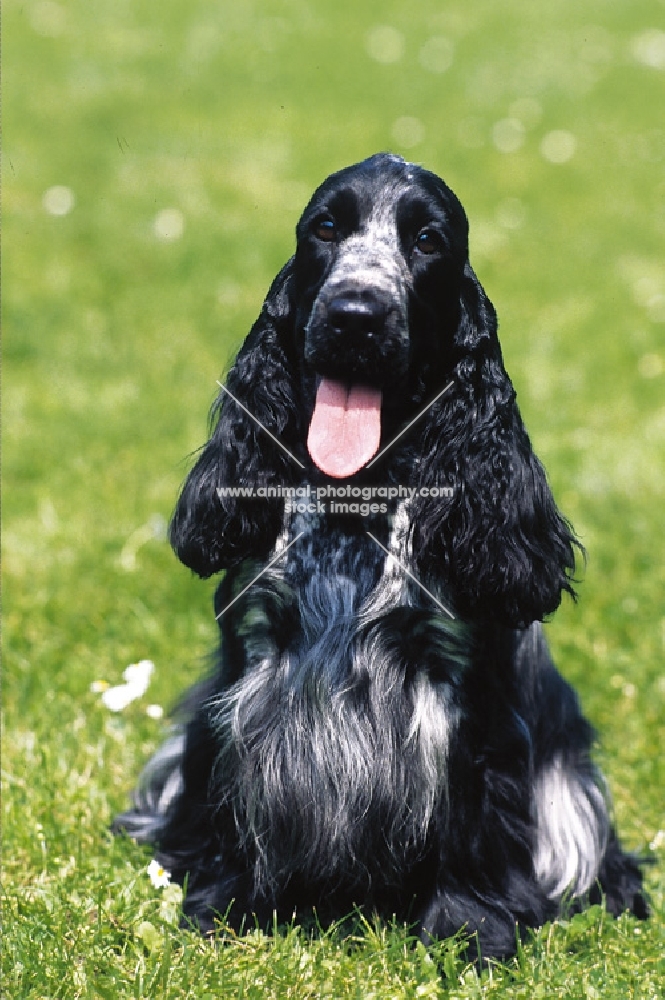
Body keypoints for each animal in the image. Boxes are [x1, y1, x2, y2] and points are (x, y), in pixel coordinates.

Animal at [115, 152, 648, 956]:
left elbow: (472, 824)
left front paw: (470, 933)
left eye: (427, 240)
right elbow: (228, 803)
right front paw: (220, 907)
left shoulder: (466, 694)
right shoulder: (248, 670)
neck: (353, 510)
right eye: (325, 229)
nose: (354, 315)